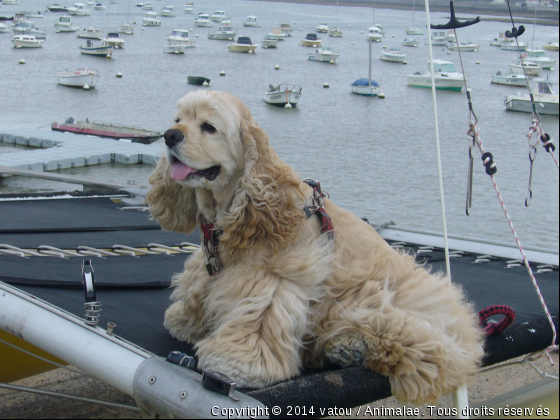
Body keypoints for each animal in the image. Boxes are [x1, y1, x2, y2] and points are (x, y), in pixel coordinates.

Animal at [147, 89, 484, 404]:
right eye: (177, 120)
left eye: (209, 127)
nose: (169, 135)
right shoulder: (209, 270)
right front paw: (186, 320)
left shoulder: (274, 278)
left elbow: (257, 321)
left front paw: (237, 362)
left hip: (379, 298)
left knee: (431, 353)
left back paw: (356, 347)